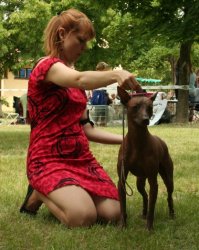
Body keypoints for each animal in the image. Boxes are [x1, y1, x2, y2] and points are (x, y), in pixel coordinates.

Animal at [116, 86, 174, 230]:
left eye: (150, 107)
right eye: (135, 107)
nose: (146, 119)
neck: (137, 141)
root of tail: (161, 141)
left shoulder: (153, 181)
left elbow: (152, 209)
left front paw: (149, 228)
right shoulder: (122, 180)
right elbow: (122, 206)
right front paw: (123, 225)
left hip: (168, 178)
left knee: (169, 195)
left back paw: (171, 214)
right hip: (140, 181)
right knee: (145, 195)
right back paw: (143, 212)